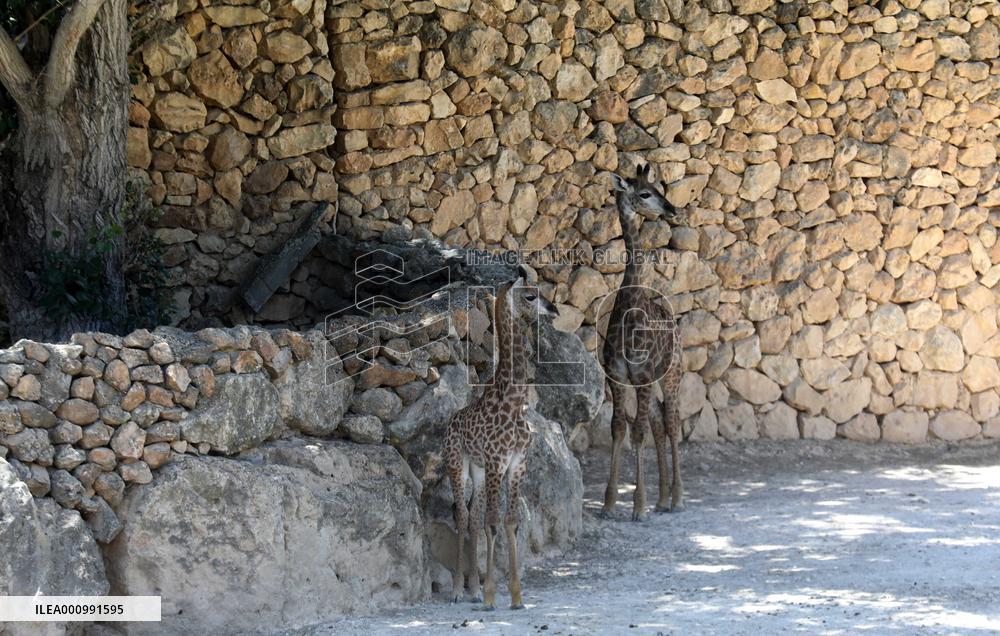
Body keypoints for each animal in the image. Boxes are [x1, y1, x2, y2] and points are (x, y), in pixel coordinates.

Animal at [443, 271, 558, 611]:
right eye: (530, 296)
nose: (554, 310)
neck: (514, 402)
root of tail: (448, 422)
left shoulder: (517, 463)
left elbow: (511, 521)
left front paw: (516, 596)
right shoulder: (497, 462)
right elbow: (493, 522)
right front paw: (492, 595)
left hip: (479, 472)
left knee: (473, 516)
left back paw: (472, 589)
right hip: (457, 465)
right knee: (463, 515)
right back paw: (458, 590)